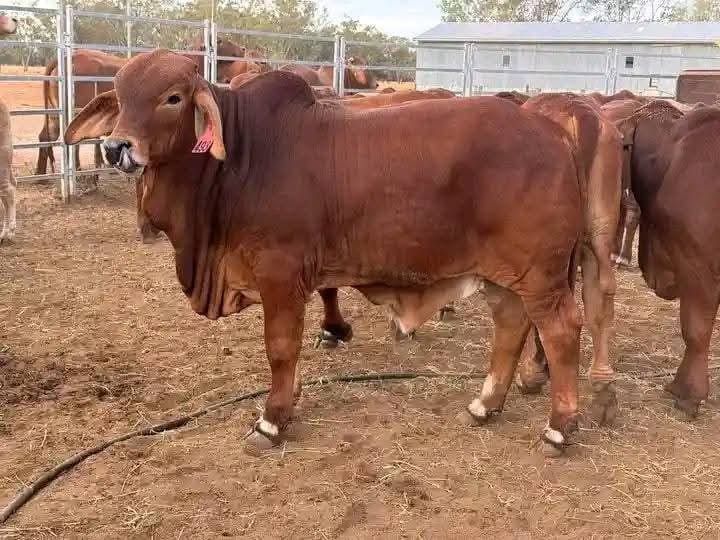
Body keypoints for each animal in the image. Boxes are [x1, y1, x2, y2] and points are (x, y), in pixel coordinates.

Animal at [66, 50, 586, 456]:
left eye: (173, 97)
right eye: (120, 98)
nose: (116, 148)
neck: (242, 159)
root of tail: (553, 131)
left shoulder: (280, 273)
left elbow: (280, 347)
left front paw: (271, 420)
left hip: (541, 274)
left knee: (560, 331)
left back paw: (558, 428)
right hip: (504, 274)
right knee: (512, 326)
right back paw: (484, 405)